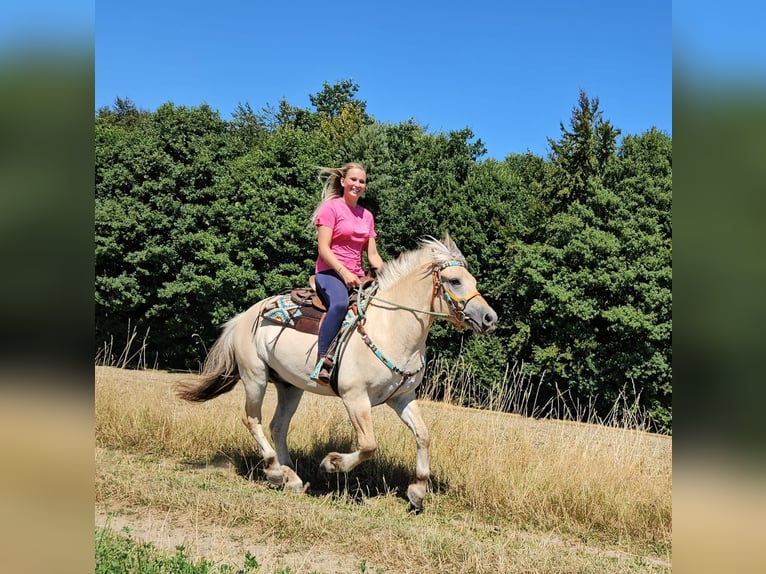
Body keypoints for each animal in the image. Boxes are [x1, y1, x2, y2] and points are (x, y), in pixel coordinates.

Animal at [176, 235, 498, 513]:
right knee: (252, 420)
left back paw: (291, 477)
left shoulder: (402, 397)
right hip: (256, 377)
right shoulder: (355, 398)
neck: (391, 327)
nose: (489, 318)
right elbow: (368, 445)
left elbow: (423, 435)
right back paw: (274, 470)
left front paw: (417, 491)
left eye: (473, 280)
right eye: (454, 280)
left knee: (278, 426)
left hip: (289, 386)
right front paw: (331, 464)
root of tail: (243, 317)